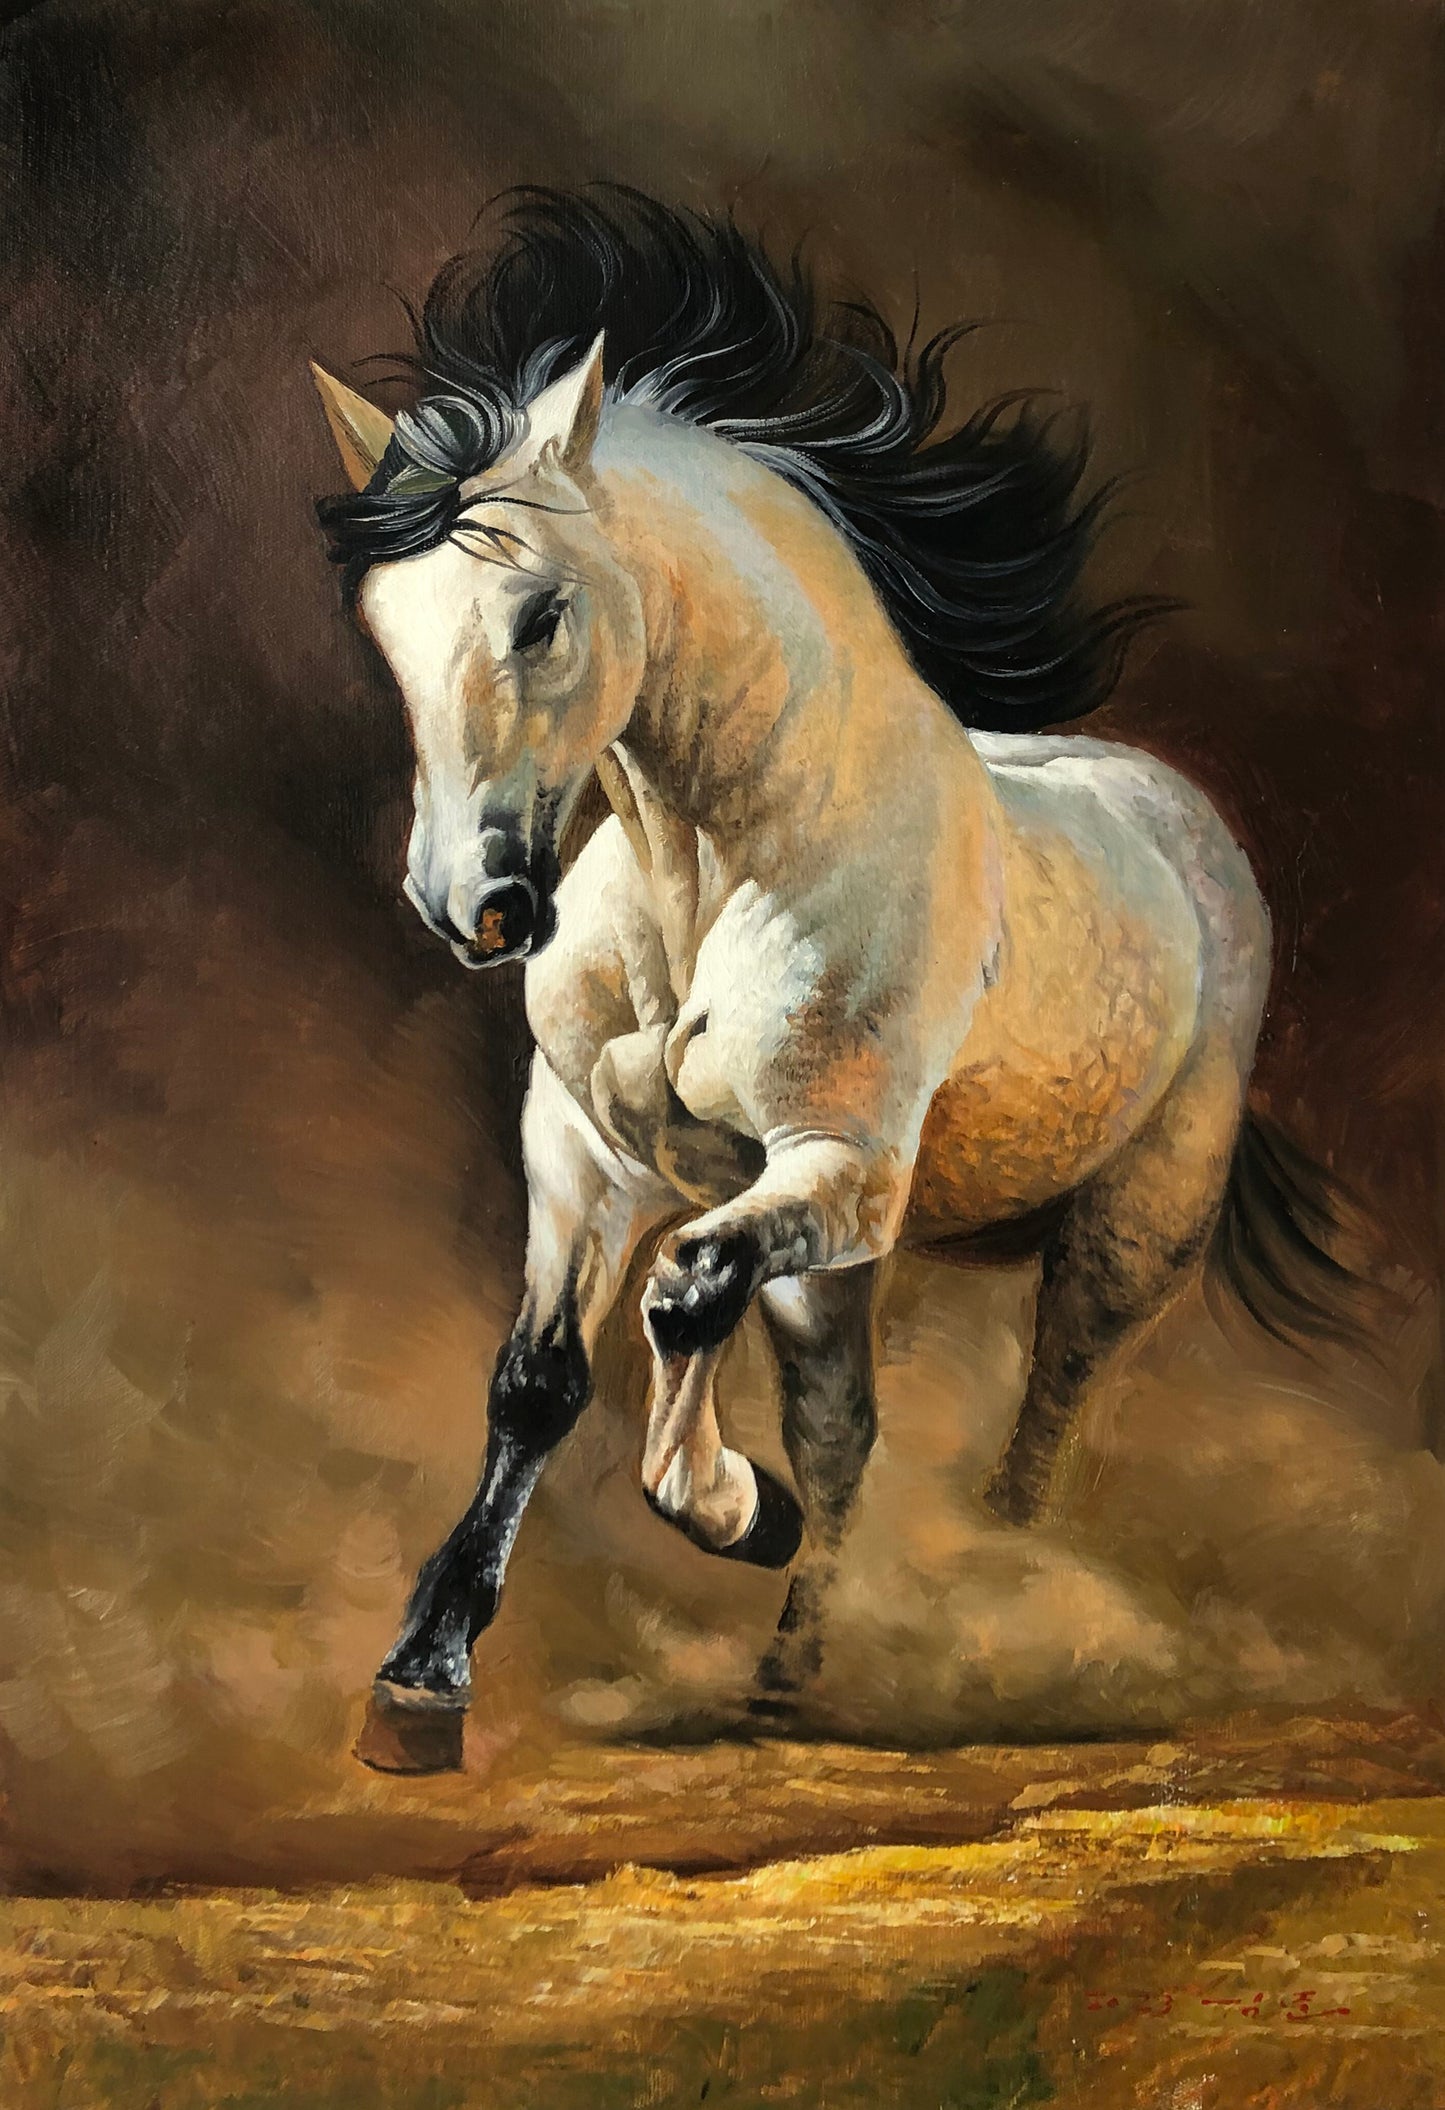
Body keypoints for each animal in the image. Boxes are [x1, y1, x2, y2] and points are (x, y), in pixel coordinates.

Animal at [312, 188, 1369, 1774]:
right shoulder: (585, 1156)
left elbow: (685, 1296)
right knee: (847, 1429)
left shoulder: (844, 1169)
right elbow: (539, 1381)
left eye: (541, 613)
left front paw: (732, 1509)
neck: (713, 873)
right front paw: (420, 1681)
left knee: (1036, 1431)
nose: (473, 907)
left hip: (1121, 1233)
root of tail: (1181, 818)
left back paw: (988, 1610)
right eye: (384, 623)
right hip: (838, 1262)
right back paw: (788, 1677)